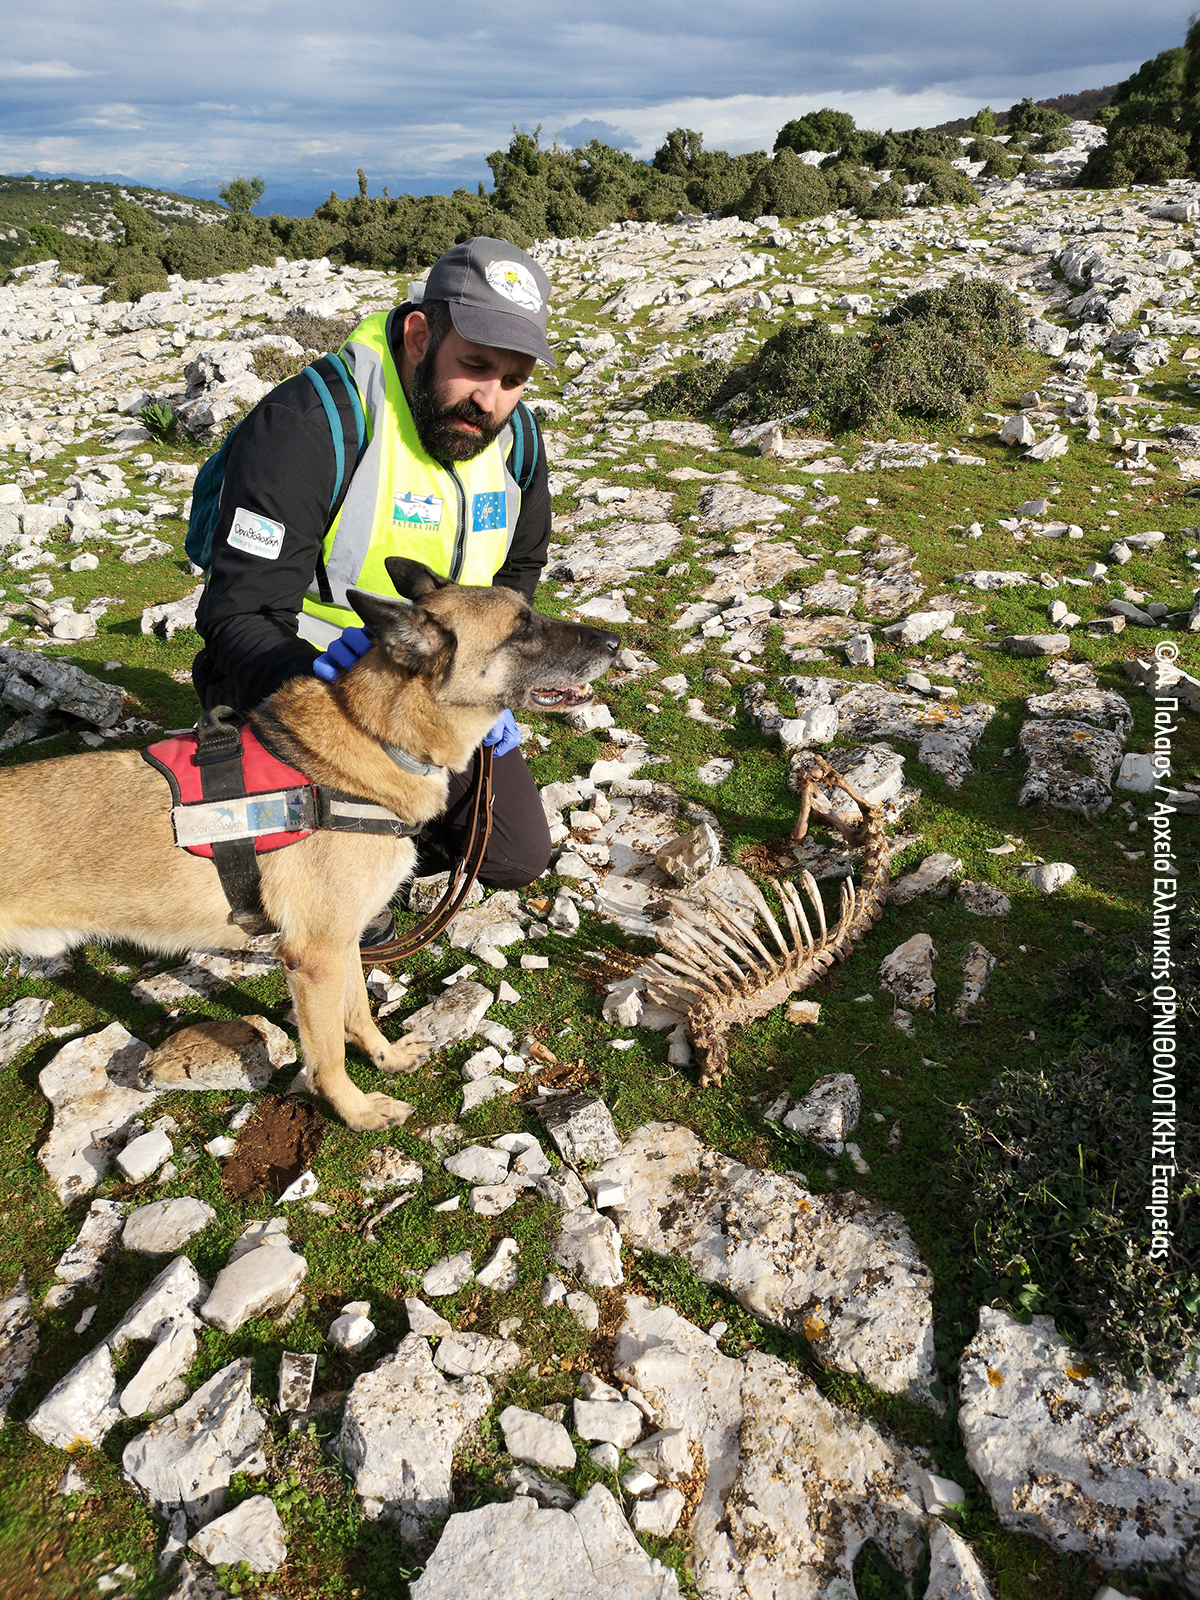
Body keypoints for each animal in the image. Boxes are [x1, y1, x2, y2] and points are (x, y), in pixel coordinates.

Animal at [0, 560, 620, 1126]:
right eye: (522, 628)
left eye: (530, 611)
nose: (616, 643)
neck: (376, 737)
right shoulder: (314, 955)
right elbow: (326, 1056)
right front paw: (355, 1110)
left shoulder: (345, 941)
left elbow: (360, 1012)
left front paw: (386, 1057)